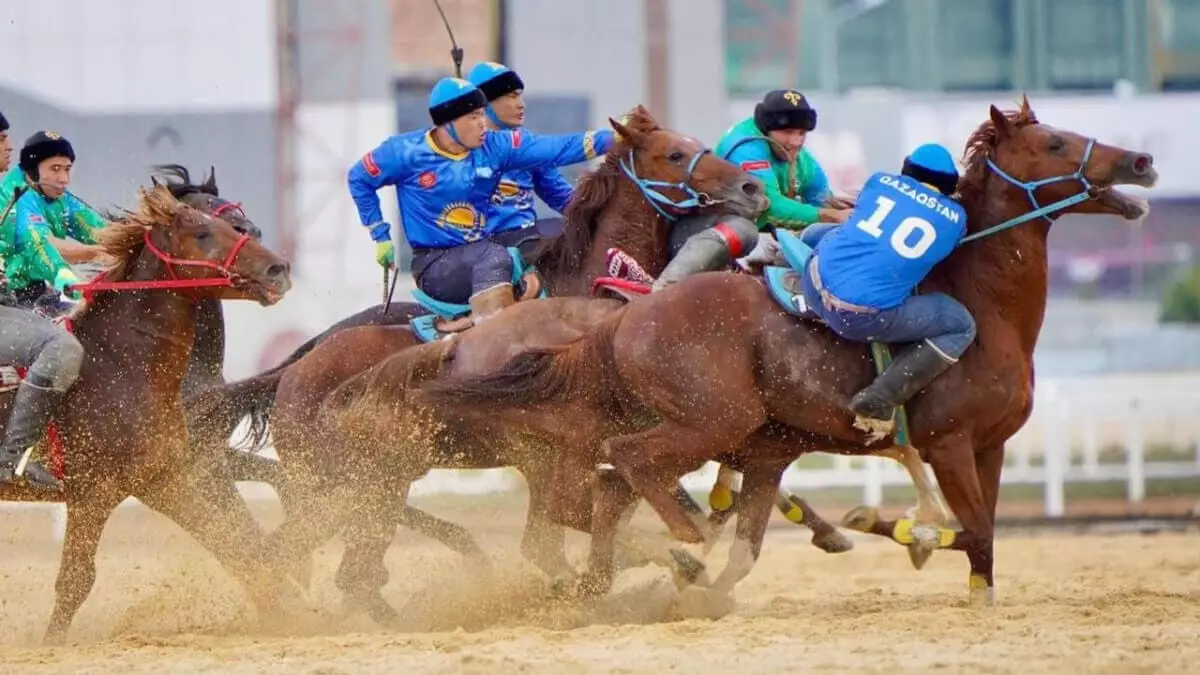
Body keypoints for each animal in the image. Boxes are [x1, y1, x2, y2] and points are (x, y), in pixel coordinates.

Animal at [1, 184, 296, 638]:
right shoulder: (94, 492)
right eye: (204, 233)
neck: (117, 365)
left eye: (240, 226)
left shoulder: (165, 479)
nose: (277, 268)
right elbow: (74, 581)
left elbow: (236, 546)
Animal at [415, 96, 1161, 598]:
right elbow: (972, 529)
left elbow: (984, 540)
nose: (1143, 160)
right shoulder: (947, 443)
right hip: (698, 421)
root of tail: (626, 319)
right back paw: (679, 546)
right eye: (1057, 143)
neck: (979, 300)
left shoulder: (988, 446)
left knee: (599, 501)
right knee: (621, 471)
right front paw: (900, 529)